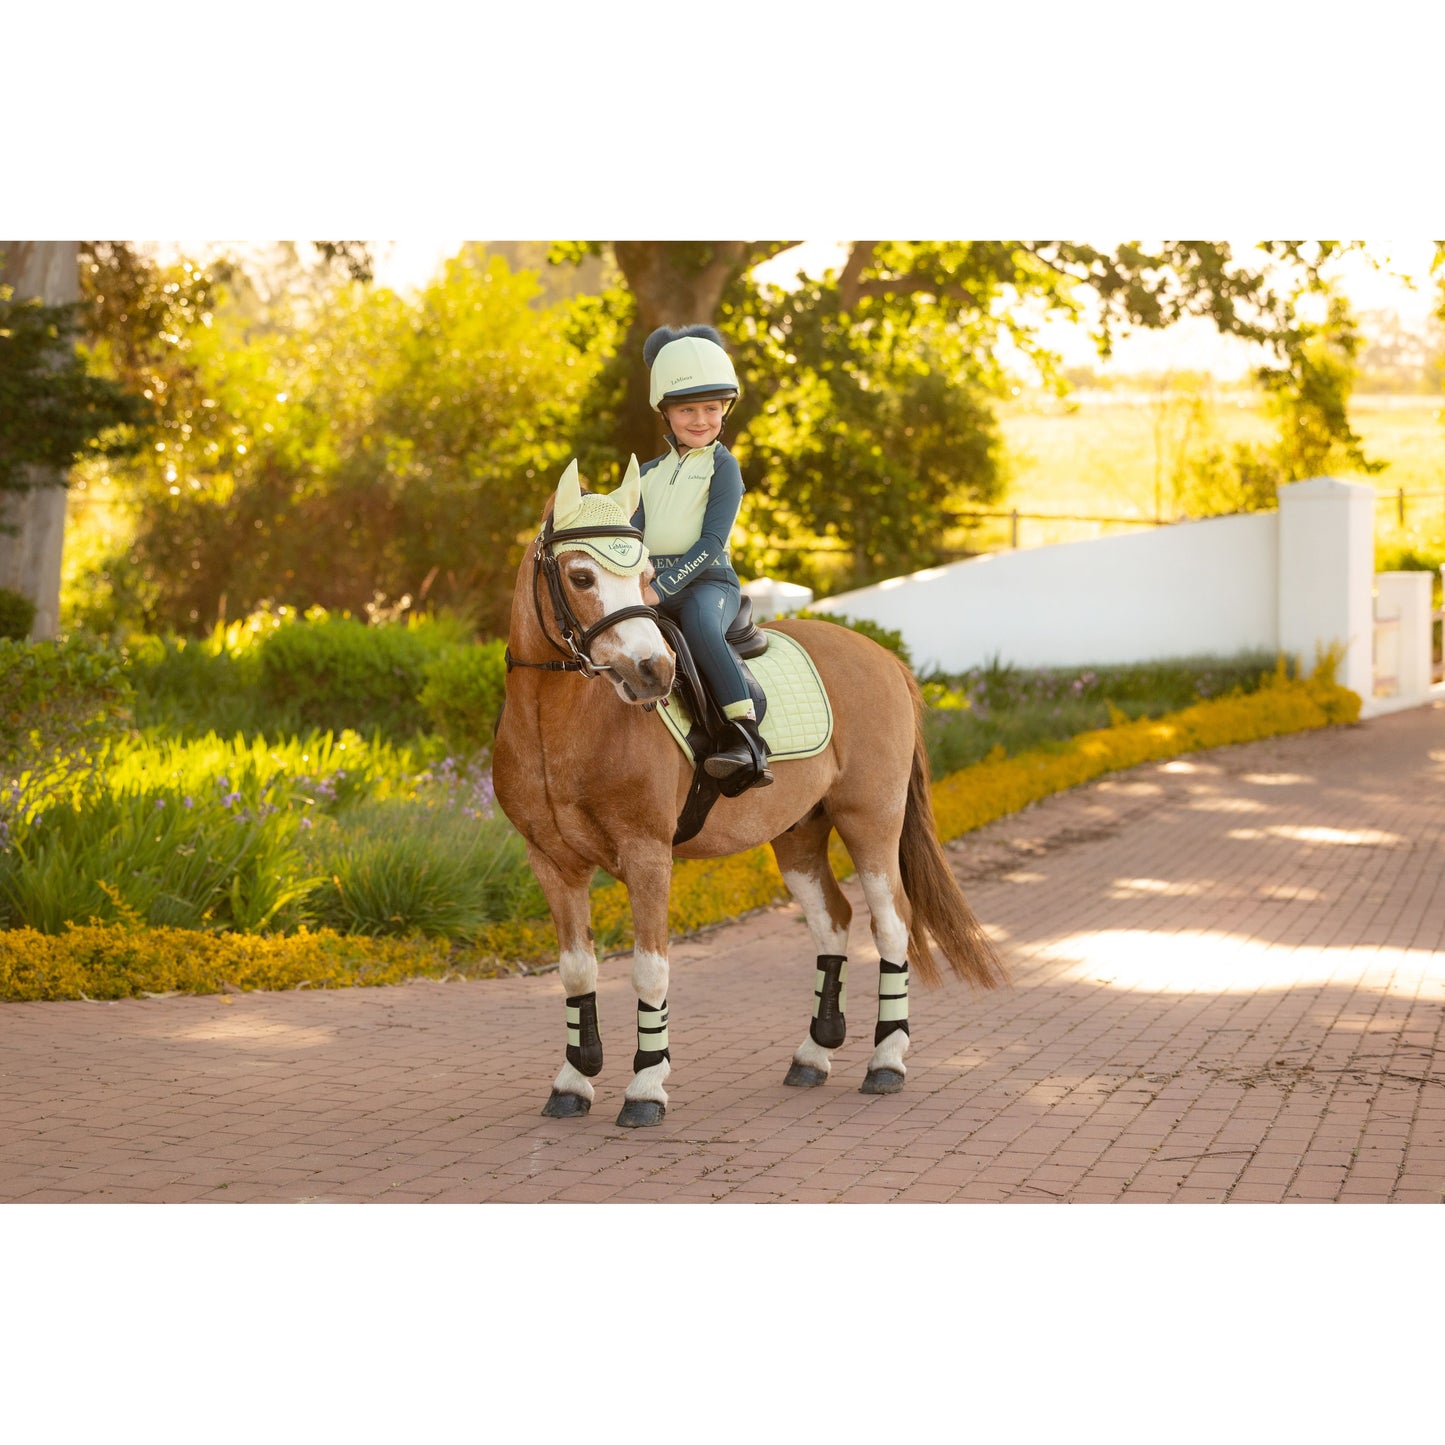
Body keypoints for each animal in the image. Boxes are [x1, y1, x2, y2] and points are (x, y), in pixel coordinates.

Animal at [493, 457, 1007, 1127]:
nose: (653, 672)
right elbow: (577, 971)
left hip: (871, 821)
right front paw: (574, 1082)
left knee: (891, 925)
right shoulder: (552, 864)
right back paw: (814, 1054)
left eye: (645, 576)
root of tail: (882, 656)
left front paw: (646, 1088)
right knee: (833, 921)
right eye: (581, 575)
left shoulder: (646, 856)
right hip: (798, 834)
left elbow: (649, 972)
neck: (558, 725)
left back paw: (886, 1063)